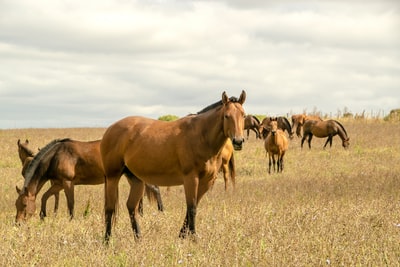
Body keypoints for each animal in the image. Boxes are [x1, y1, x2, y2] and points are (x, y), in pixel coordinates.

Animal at [14, 139, 163, 223]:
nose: (18, 223)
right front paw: (43, 216)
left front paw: (71, 220)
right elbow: (45, 197)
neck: (55, 156)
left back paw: (161, 212)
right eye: (16, 205)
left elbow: (70, 203)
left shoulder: (67, 183)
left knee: (155, 189)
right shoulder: (58, 184)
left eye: (25, 205)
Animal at [100, 91, 247, 243]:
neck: (201, 136)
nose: (238, 141)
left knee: (131, 206)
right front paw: (193, 238)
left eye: (243, 115)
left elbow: (192, 207)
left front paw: (182, 235)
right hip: (112, 177)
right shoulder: (191, 179)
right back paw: (107, 240)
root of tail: (110, 129)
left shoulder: (206, 182)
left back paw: (138, 239)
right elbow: (192, 208)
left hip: (136, 180)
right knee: (109, 208)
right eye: (226, 116)